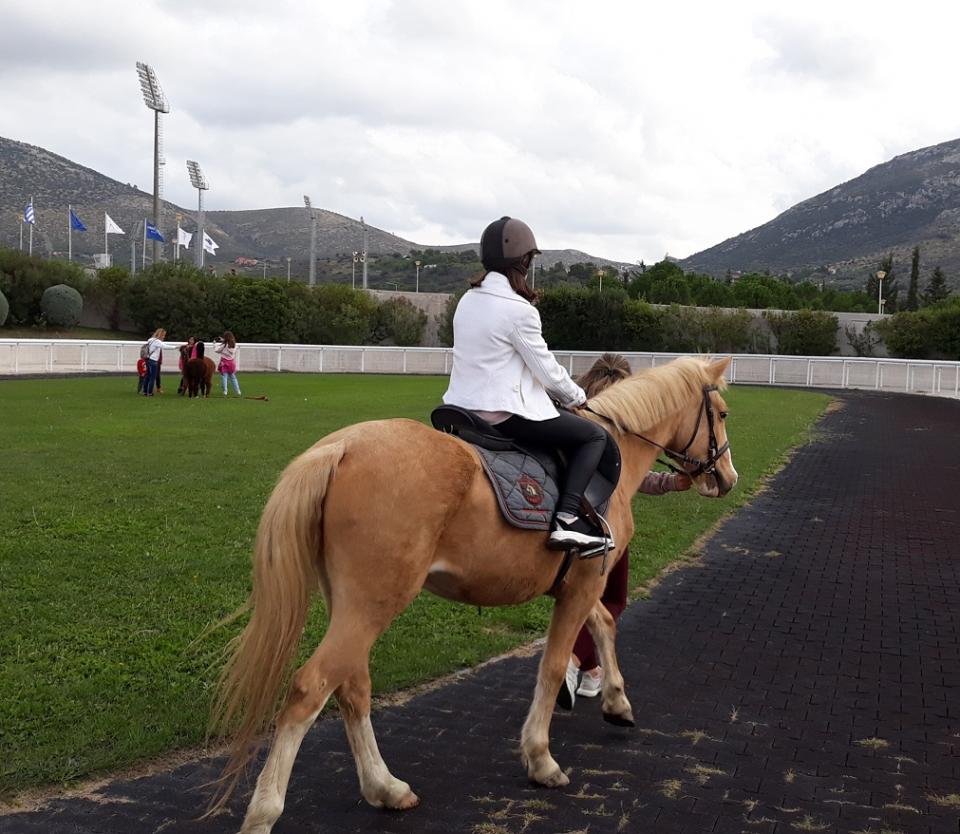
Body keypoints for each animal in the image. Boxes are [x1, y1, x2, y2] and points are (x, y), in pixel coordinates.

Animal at [210, 354, 736, 828]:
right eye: (724, 414)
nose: (727, 477)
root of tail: (340, 447)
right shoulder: (583, 585)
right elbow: (551, 667)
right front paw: (541, 759)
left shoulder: (579, 585)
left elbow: (604, 625)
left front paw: (617, 702)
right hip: (374, 603)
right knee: (311, 687)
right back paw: (264, 812)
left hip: (354, 604)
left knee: (352, 687)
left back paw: (385, 787)